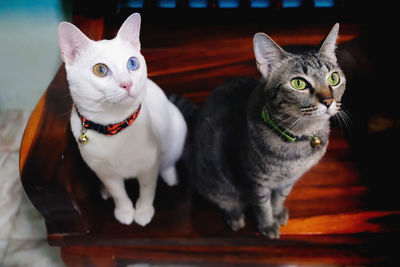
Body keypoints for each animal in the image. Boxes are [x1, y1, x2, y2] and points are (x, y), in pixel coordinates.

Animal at [57, 12, 188, 226]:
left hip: (177, 129)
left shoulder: (148, 167)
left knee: (168, 161)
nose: (127, 84)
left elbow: (147, 190)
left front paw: (143, 211)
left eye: (132, 63)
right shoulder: (106, 173)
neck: (114, 127)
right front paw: (124, 211)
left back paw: (169, 176)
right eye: (100, 70)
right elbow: (119, 194)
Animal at [192, 24, 346, 240]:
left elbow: (279, 197)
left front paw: (278, 212)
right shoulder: (255, 179)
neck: (299, 141)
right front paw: (267, 225)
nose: (328, 101)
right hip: (213, 181)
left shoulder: (290, 180)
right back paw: (235, 216)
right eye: (299, 83)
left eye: (334, 78)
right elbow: (262, 205)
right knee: (226, 200)